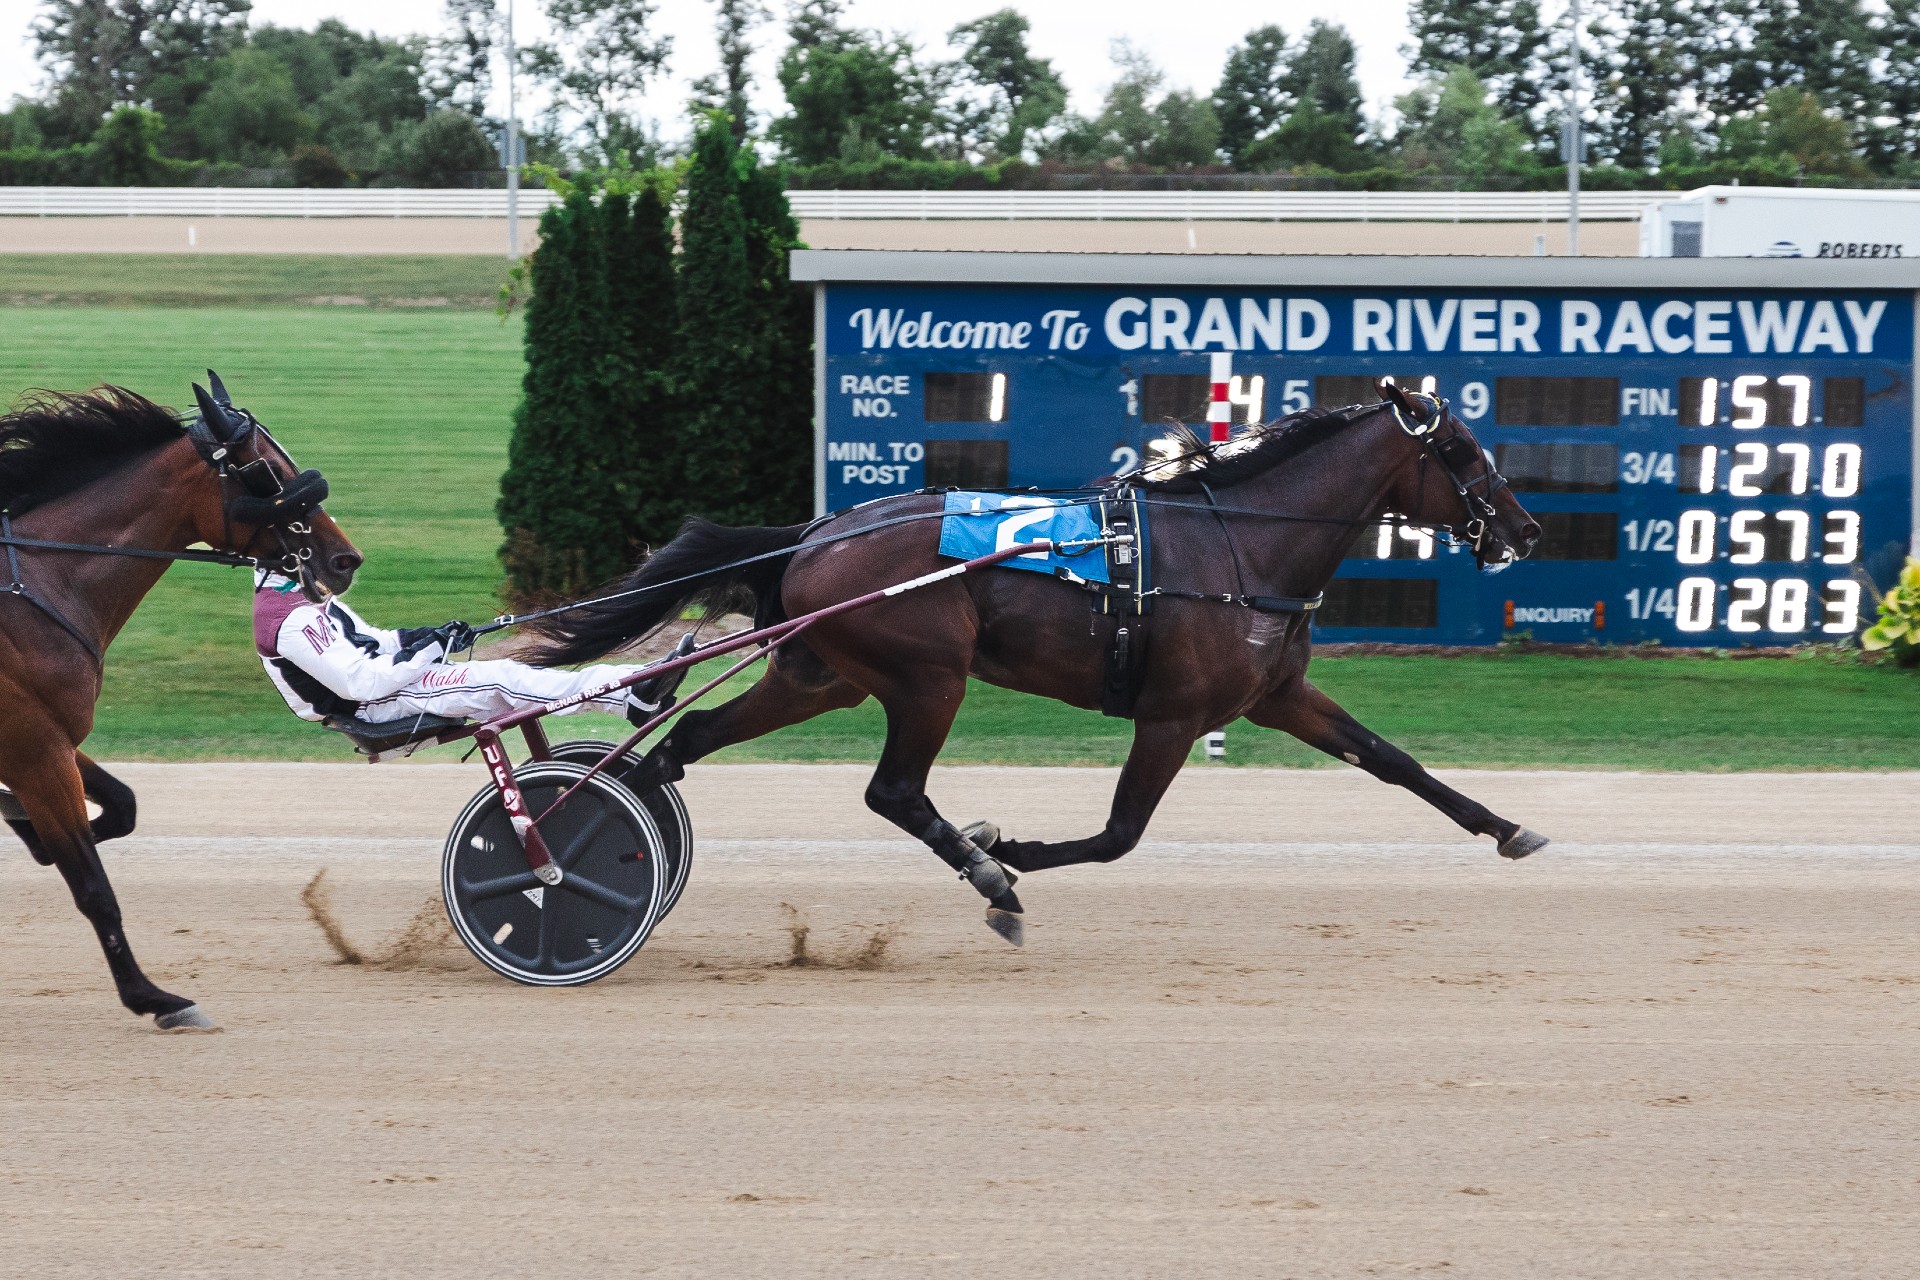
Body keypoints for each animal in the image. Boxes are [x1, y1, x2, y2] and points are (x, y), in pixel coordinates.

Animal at [0, 372, 360, 1028]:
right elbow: (93, 887)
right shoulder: (33, 746)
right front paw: (153, 996)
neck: (35, 582)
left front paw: (25, 828)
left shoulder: (50, 737)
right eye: (266, 470)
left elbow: (122, 806)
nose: (345, 558)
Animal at [522, 385, 1543, 948]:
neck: (1238, 548)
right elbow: (1120, 834)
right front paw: (1006, 851)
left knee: (682, 740)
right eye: (1461, 450)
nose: (1527, 529)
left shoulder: (1278, 694)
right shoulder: (1173, 715)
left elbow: (1394, 760)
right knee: (892, 792)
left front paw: (1507, 828)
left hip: (821, 675)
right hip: (929, 678)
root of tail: (817, 532)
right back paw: (988, 877)